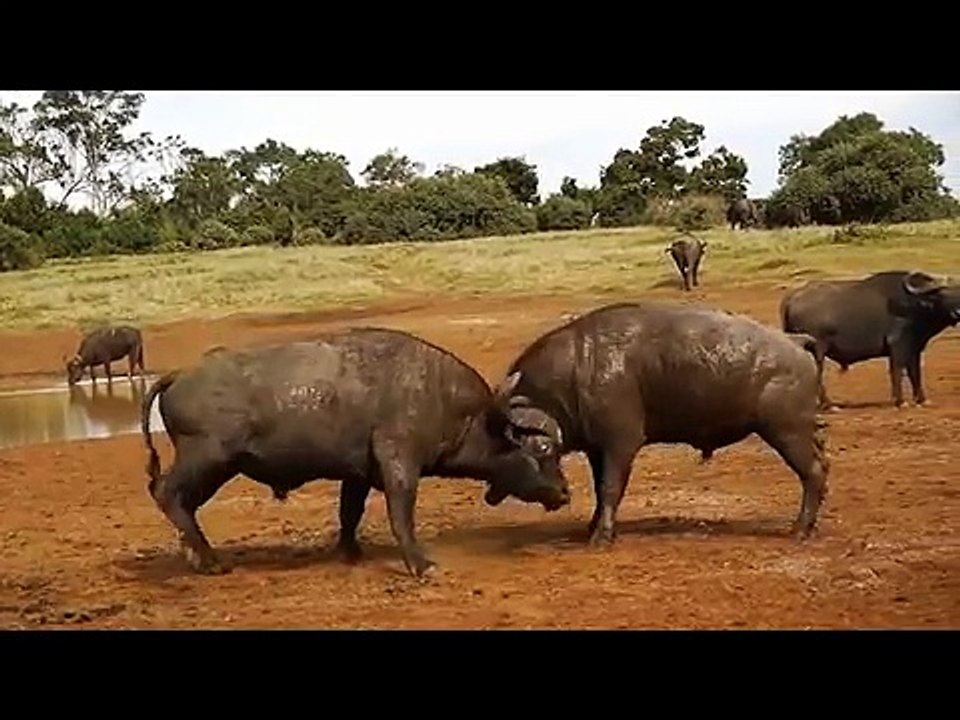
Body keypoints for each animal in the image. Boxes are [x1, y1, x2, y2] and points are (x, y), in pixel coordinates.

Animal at [140, 327, 571, 578]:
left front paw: (350, 553)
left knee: (182, 505)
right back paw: (210, 561)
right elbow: (401, 515)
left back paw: (197, 556)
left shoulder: (357, 475)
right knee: (168, 495)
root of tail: (181, 374)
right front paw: (421, 564)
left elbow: (350, 513)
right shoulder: (399, 464)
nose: (565, 492)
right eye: (543, 448)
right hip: (209, 460)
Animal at [496, 301, 830, 545]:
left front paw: (602, 536)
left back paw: (799, 529)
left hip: (786, 432)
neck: (580, 370)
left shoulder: (620, 446)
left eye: (539, 448)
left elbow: (610, 487)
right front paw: (592, 527)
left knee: (812, 472)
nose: (559, 496)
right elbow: (599, 488)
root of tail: (794, 341)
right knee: (823, 465)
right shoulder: (596, 449)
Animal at [780, 270, 960, 409]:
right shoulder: (898, 345)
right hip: (818, 350)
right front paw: (900, 401)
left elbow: (915, 373)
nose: (957, 312)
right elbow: (897, 371)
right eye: (942, 294)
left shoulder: (915, 349)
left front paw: (921, 400)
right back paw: (829, 405)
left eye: (959, 291)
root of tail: (792, 298)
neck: (915, 306)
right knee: (817, 373)